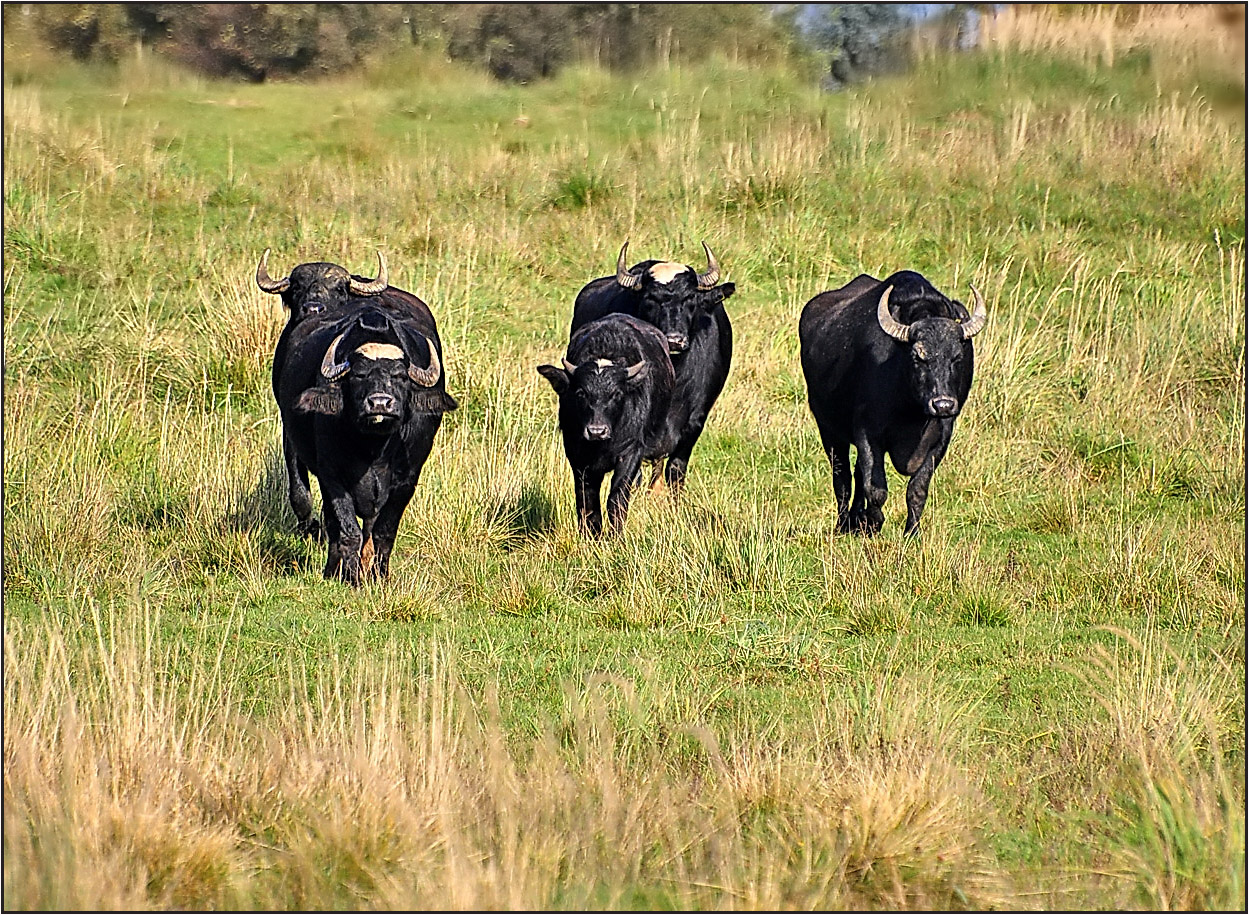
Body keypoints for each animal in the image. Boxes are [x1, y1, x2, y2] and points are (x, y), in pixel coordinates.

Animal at [534, 312, 674, 534]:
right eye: (581, 393)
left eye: (616, 394)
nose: (596, 431)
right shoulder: (577, 457)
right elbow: (587, 500)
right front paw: (591, 534)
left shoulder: (630, 452)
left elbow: (617, 498)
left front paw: (616, 535)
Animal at [572, 235, 734, 491]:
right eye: (651, 298)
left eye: (690, 297)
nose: (675, 340)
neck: (676, 375)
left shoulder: (694, 422)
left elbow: (675, 469)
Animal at [799, 269, 984, 534]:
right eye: (918, 357)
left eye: (957, 357)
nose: (943, 405)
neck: (912, 412)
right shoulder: (867, 433)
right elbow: (876, 488)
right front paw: (874, 522)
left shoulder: (941, 438)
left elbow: (917, 489)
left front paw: (911, 532)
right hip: (829, 430)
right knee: (842, 477)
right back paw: (844, 524)